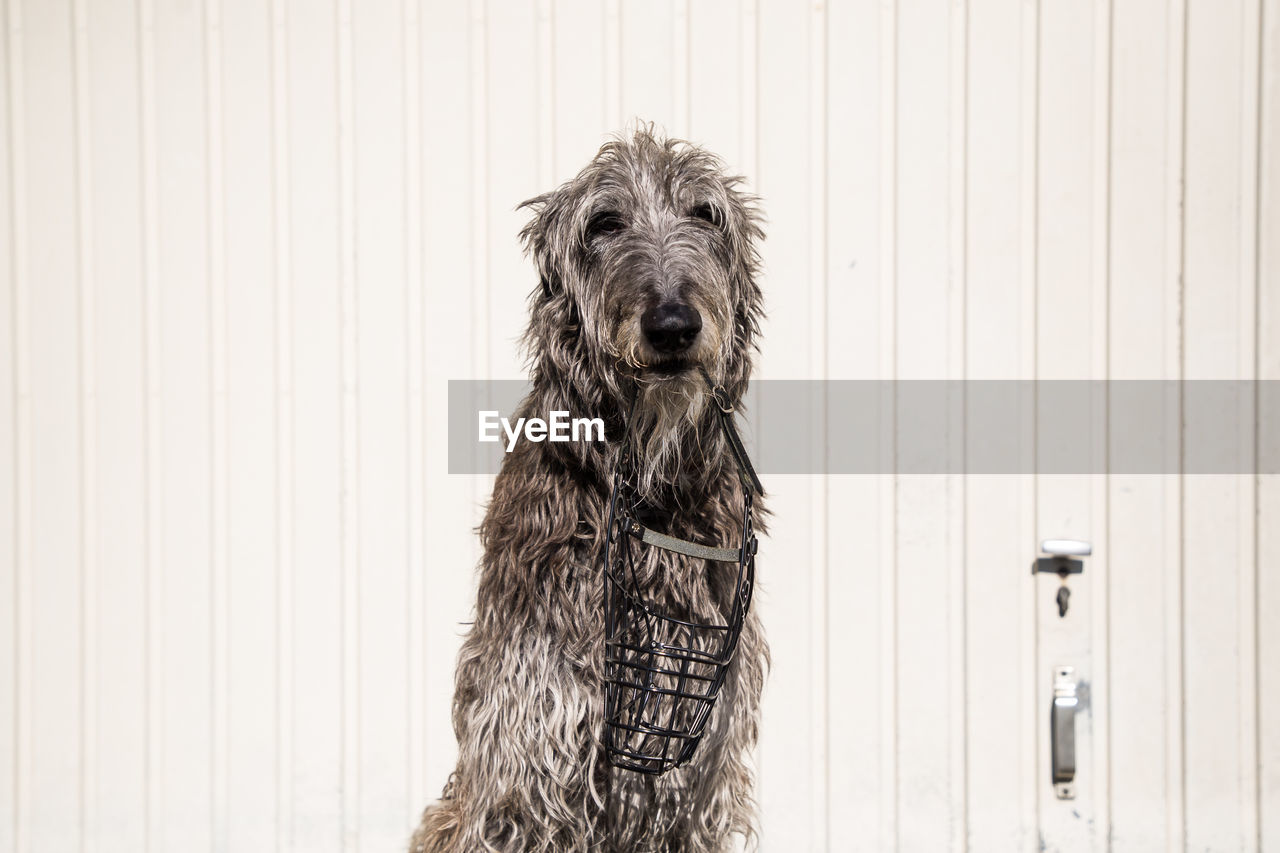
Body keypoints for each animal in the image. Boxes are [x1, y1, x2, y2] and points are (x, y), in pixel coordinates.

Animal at [414, 126, 762, 850]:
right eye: (604, 222)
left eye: (705, 214)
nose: (672, 326)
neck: (646, 481)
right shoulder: (530, 743)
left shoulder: (698, 776)